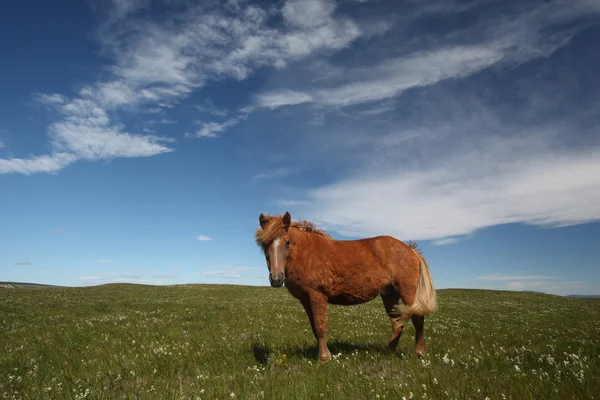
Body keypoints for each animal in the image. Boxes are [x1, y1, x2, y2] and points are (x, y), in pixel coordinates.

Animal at [255, 212, 438, 362]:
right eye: (264, 244)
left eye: (287, 242)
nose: (277, 279)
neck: (305, 252)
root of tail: (410, 249)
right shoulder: (305, 300)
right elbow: (314, 327)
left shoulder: (317, 295)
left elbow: (320, 327)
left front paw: (324, 358)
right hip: (389, 295)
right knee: (397, 323)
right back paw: (388, 351)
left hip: (408, 293)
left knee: (417, 320)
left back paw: (418, 353)